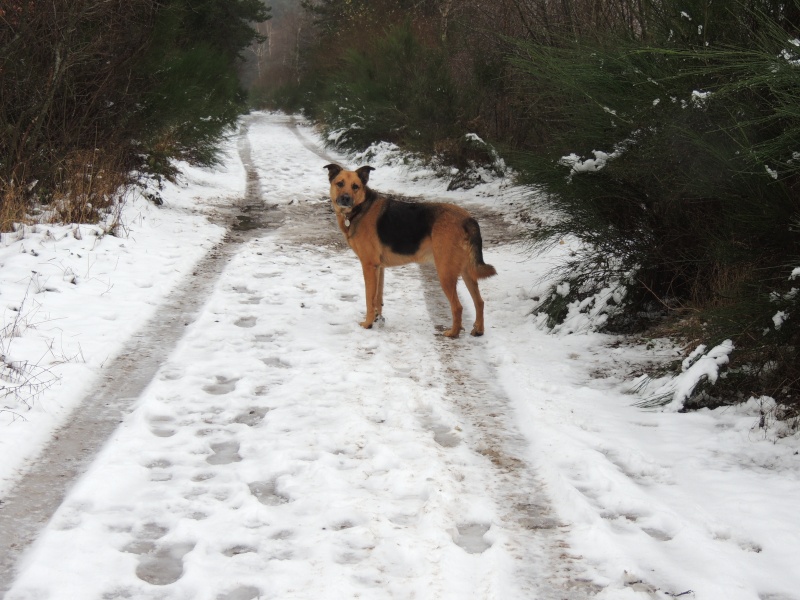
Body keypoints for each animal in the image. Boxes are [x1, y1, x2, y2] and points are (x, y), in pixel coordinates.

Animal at [324, 163, 494, 338]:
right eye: (340, 183)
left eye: (355, 186)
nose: (345, 199)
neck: (361, 208)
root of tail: (468, 219)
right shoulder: (379, 268)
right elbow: (378, 297)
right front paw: (378, 318)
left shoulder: (369, 266)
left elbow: (369, 298)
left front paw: (368, 323)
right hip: (466, 271)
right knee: (479, 301)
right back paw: (478, 329)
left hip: (445, 272)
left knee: (458, 306)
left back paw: (452, 333)